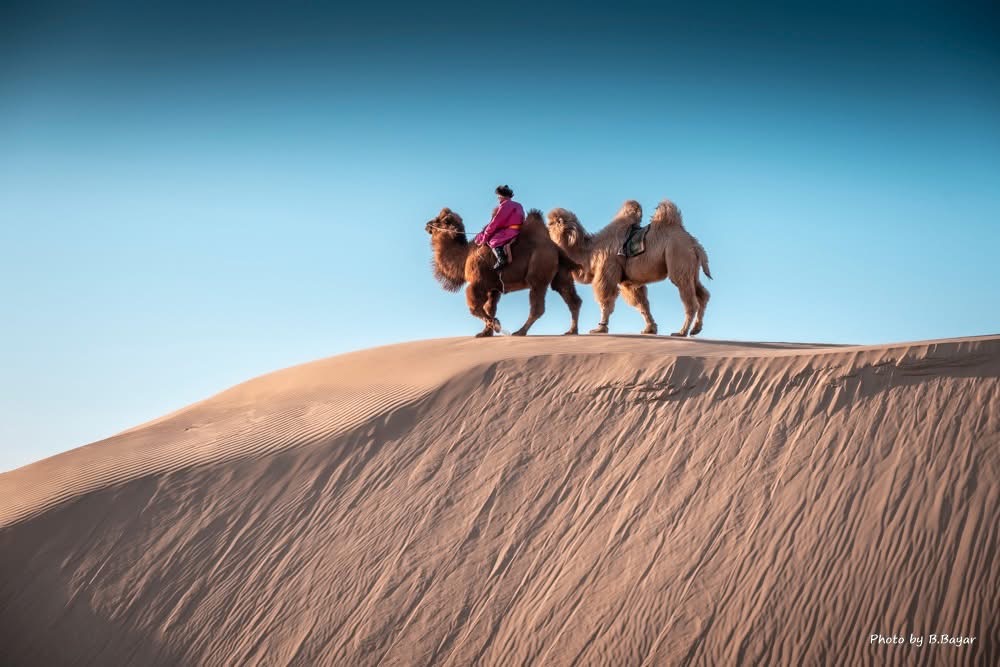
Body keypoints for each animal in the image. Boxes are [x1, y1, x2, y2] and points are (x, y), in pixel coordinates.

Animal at [426, 207, 582, 337]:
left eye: (445, 220)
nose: (428, 224)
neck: (464, 256)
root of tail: (556, 248)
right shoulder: (493, 287)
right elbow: (490, 308)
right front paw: (485, 333)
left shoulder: (478, 281)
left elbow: (474, 307)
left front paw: (496, 325)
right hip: (561, 274)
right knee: (572, 298)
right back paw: (571, 331)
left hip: (538, 273)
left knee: (538, 306)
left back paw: (520, 332)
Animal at [546, 199, 712, 336]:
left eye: (550, 224)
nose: (544, 232)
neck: (590, 251)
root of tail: (694, 243)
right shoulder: (628, 282)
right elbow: (641, 303)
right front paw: (650, 329)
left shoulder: (607, 269)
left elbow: (605, 298)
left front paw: (600, 329)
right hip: (691, 267)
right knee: (702, 294)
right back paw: (696, 329)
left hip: (678, 256)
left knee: (689, 297)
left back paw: (681, 332)